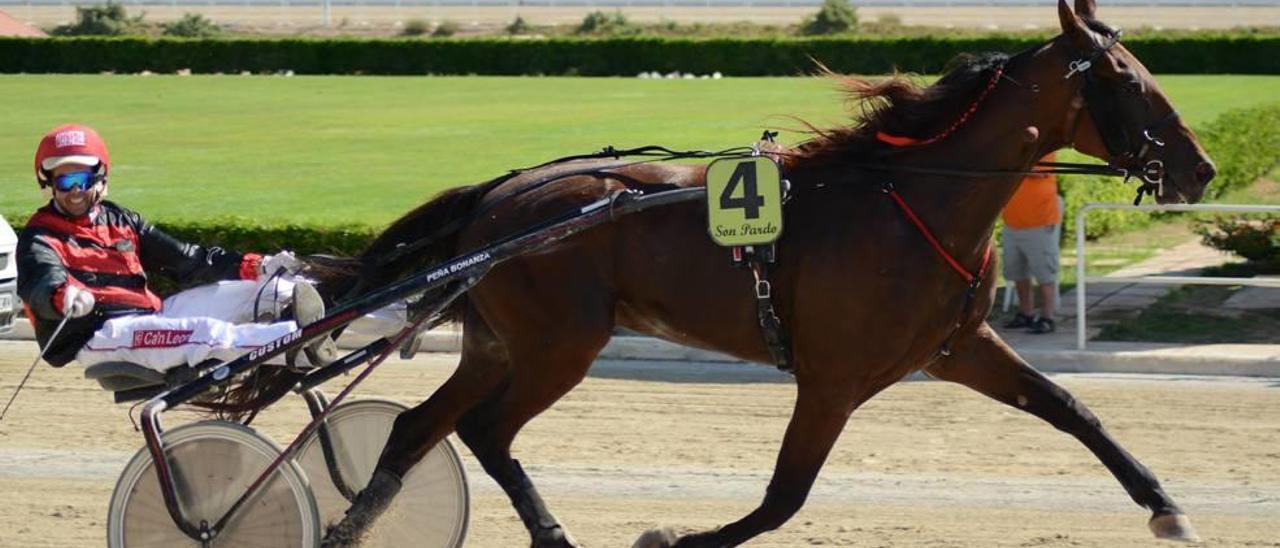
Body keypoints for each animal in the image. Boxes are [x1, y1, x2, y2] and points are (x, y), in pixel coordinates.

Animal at [312, 2, 1218, 545]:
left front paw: (1166, 506)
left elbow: (1071, 408)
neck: (911, 199)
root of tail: (498, 198)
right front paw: (673, 535)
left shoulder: (958, 349)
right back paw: (551, 531)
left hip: (500, 345)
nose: (1201, 168)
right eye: (1129, 79)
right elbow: (785, 497)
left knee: (416, 427)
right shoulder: (833, 377)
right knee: (486, 431)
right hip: (559, 347)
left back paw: (353, 523)